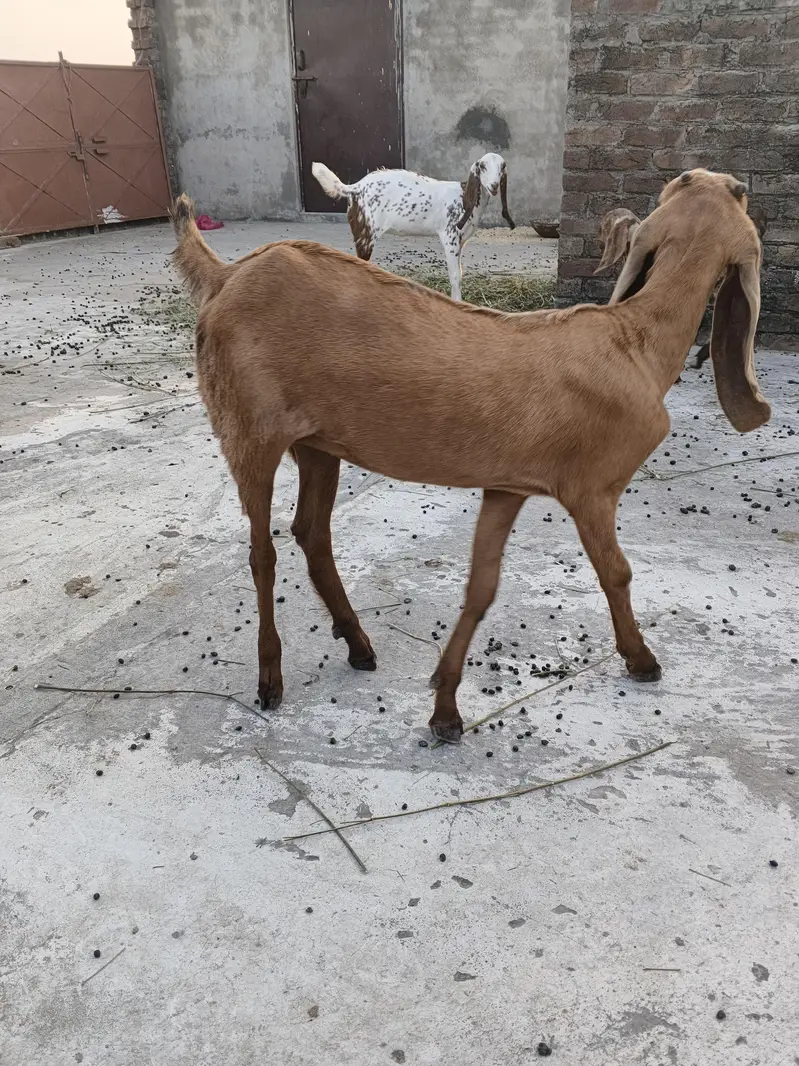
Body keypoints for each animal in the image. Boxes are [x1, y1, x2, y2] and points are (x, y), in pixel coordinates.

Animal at [171, 169, 769, 744]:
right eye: (739, 193)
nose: (730, 183)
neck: (635, 342)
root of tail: (224, 277)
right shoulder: (593, 487)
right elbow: (615, 572)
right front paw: (642, 660)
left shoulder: (508, 485)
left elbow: (482, 588)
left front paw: (445, 707)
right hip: (249, 427)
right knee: (262, 552)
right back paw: (270, 679)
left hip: (318, 443)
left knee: (311, 533)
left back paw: (359, 644)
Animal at [310, 153, 515, 301]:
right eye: (483, 166)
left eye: (503, 167)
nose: (494, 186)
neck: (463, 198)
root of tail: (354, 187)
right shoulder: (449, 236)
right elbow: (455, 276)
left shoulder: (461, 241)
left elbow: (460, 274)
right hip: (365, 231)